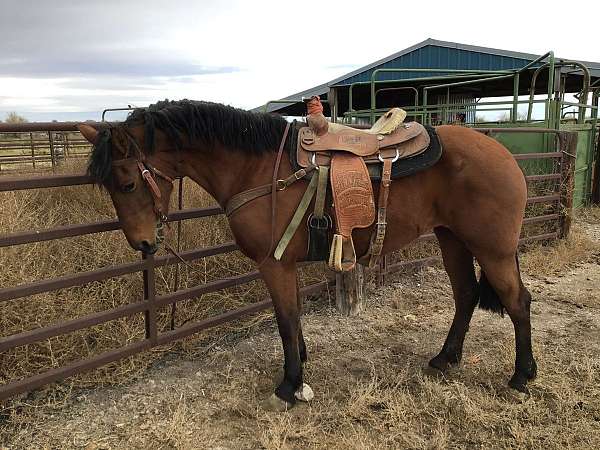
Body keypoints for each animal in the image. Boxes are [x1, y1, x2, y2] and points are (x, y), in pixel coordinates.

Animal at [78, 100, 536, 410]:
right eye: (108, 186)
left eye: (127, 183)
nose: (142, 244)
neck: (257, 168)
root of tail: (505, 155)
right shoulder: (286, 265)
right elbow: (294, 316)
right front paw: (300, 367)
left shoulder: (274, 263)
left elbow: (284, 320)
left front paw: (290, 386)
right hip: (452, 240)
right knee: (465, 296)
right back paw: (445, 358)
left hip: (492, 249)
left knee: (517, 301)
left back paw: (522, 374)